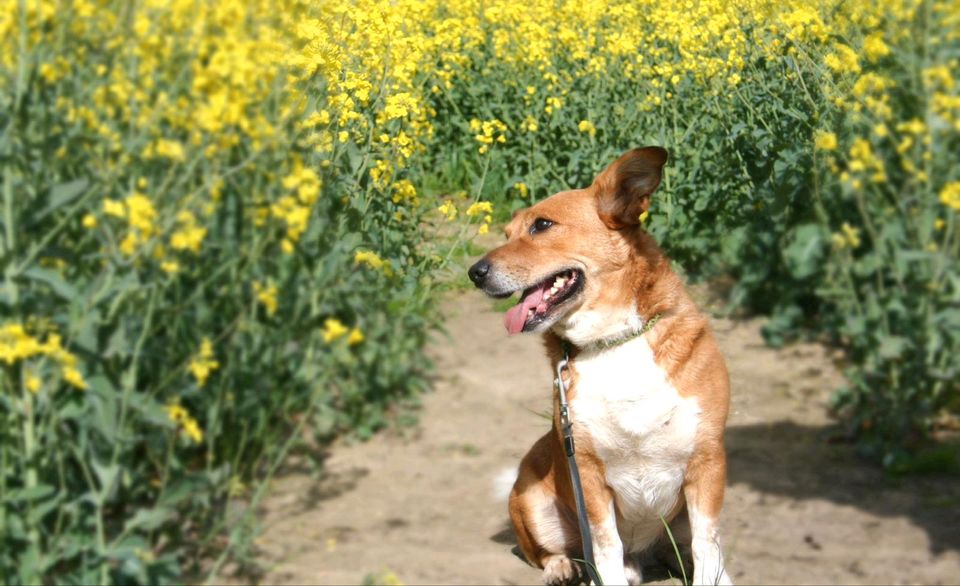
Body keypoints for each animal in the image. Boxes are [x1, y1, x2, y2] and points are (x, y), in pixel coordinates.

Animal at [468, 146, 732, 584]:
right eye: (507, 234)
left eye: (542, 225)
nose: (475, 273)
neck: (613, 341)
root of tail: (643, 557)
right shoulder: (589, 475)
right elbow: (606, 547)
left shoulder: (707, 463)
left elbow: (707, 545)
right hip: (530, 498)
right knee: (549, 551)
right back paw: (562, 567)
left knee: (685, 550)